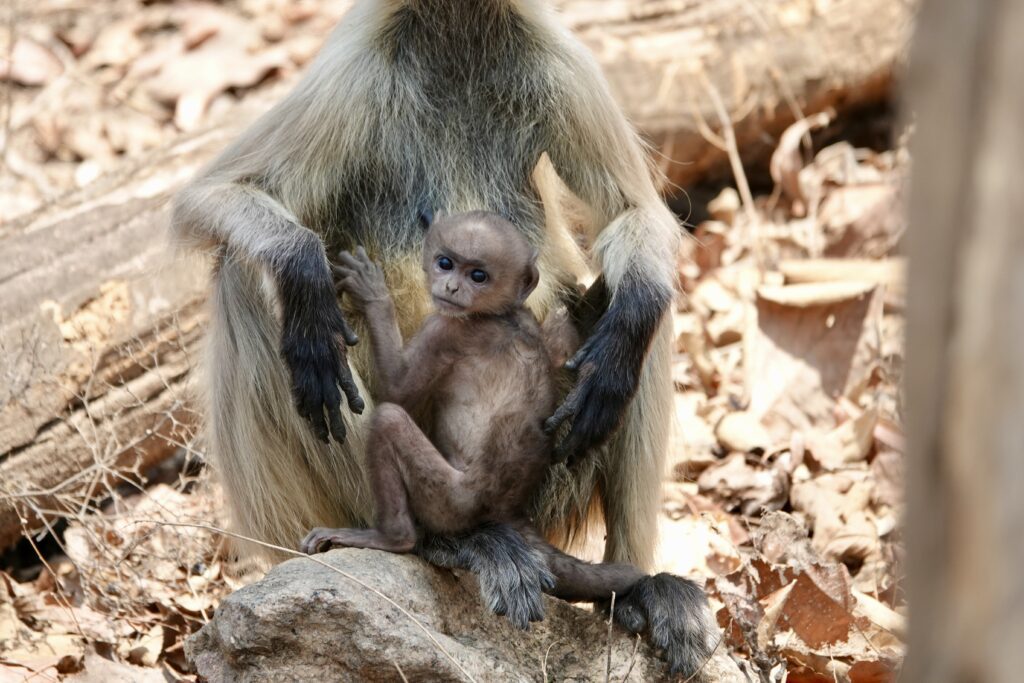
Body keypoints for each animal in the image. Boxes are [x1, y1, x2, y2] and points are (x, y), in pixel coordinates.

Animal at [171, 0, 680, 624]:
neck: (456, 37)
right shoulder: (358, 63)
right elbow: (216, 195)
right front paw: (304, 272)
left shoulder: (557, 61)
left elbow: (634, 217)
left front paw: (620, 344)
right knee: (242, 275)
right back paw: (436, 537)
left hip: (552, 476)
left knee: (639, 302)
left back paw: (635, 585)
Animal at [300, 213, 714, 678]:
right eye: (446, 263)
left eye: (478, 275)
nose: (452, 287)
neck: (502, 314)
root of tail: (511, 514)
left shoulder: (448, 328)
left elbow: (395, 390)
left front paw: (373, 293)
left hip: (450, 498)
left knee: (388, 421)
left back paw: (390, 538)